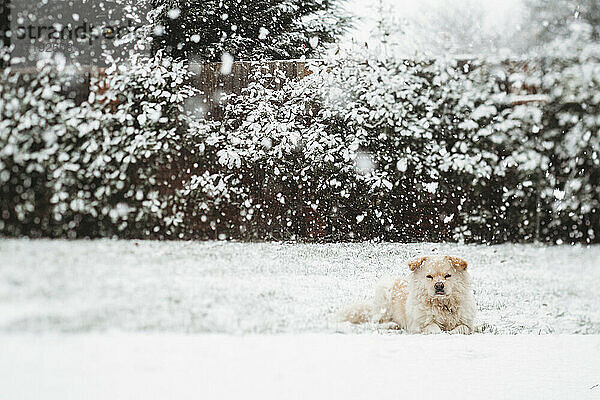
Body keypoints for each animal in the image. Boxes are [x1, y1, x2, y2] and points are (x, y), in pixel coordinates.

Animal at [344, 255, 476, 332]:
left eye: (448, 276)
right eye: (429, 276)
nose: (439, 285)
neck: (442, 305)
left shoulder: (468, 324)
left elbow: (462, 328)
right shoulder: (418, 324)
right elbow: (434, 328)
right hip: (384, 293)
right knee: (374, 322)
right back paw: (392, 325)